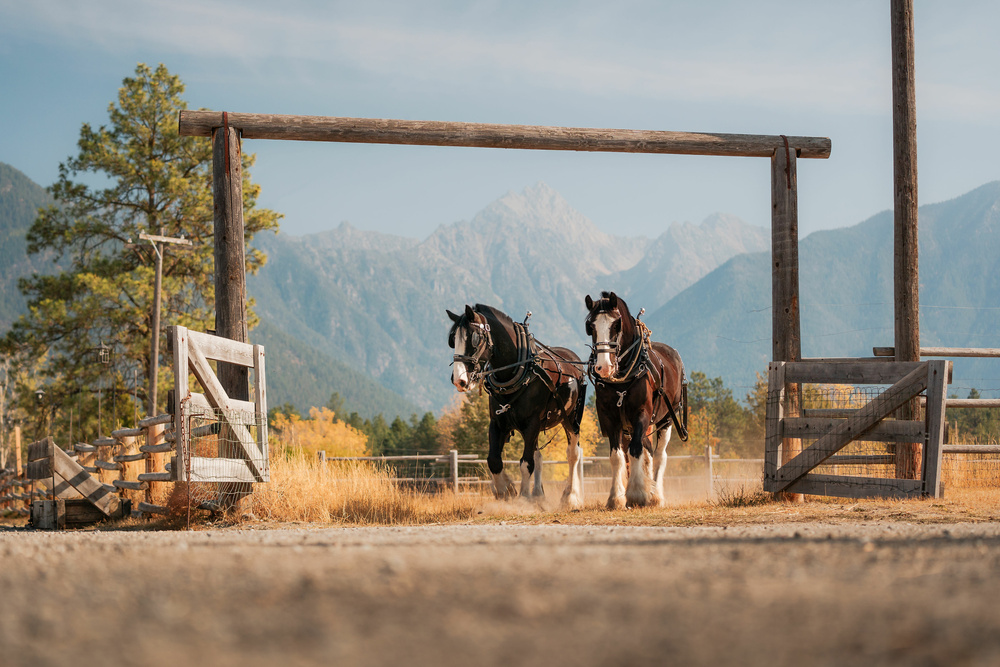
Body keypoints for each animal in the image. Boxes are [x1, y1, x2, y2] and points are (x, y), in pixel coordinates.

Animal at [450, 304, 588, 506]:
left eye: (475, 338)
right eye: (452, 339)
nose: (459, 380)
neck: (520, 371)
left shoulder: (532, 423)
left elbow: (526, 463)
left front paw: (523, 497)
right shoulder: (497, 422)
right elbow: (494, 460)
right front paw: (505, 491)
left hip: (570, 418)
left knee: (573, 453)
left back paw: (570, 495)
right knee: (539, 456)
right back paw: (538, 494)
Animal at [584, 290, 688, 508]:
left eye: (617, 324)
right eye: (590, 326)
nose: (604, 367)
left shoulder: (641, 413)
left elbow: (636, 450)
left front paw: (637, 494)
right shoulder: (609, 417)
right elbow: (617, 456)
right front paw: (616, 497)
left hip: (666, 419)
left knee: (659, 455)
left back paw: (656, 495)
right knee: (646, 451)